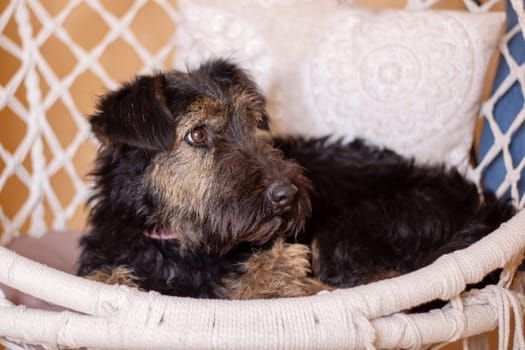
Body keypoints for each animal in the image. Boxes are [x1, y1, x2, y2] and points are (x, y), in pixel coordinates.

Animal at [75, 59, 512, 304]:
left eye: (252, 123)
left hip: (352, 228)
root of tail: (484, 206)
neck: (183, 243)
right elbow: (107, 278)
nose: (286, 195)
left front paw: (274, 275)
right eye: (198, 134)